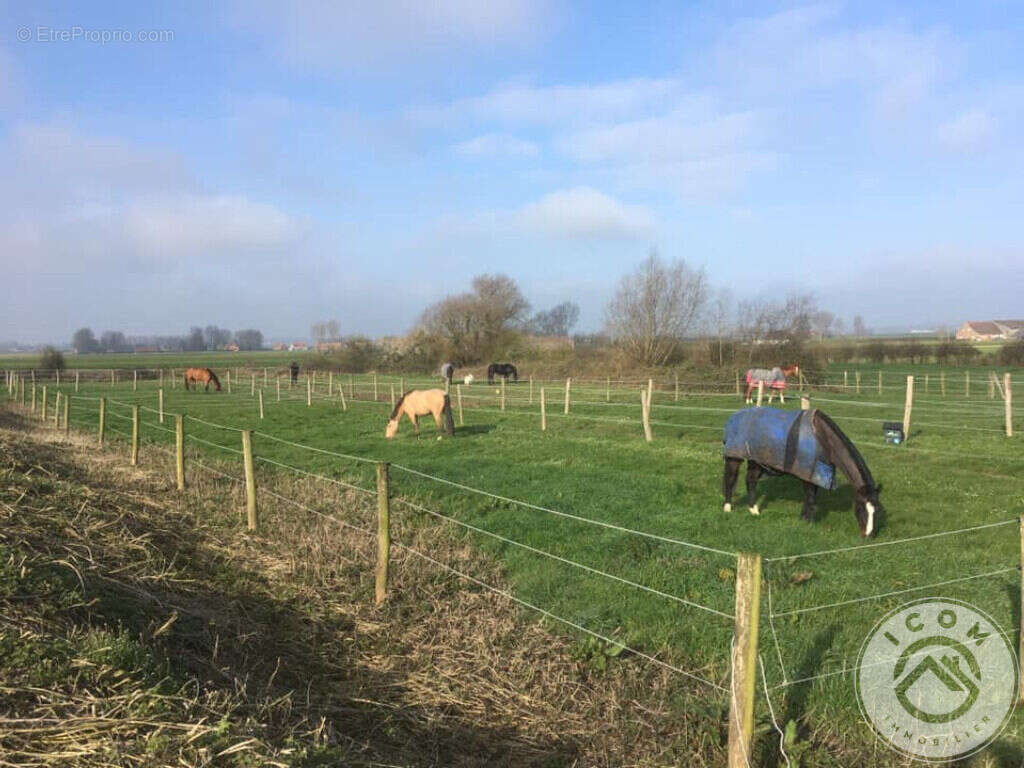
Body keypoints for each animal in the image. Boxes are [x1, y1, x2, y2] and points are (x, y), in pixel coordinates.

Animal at [720, 405, 880, 536]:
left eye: (876, 511)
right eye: (861, 509)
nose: (868, 535)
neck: (822, 436)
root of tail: (733, 417)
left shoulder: (815, 472)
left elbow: (812, 496)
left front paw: (806, 518)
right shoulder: (807, 472)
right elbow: (809, 496)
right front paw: (806, 520)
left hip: (756, 460)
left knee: (750, 481)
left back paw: (754, 510)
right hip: (734, 457)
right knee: (730, 479)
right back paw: (727, 508)